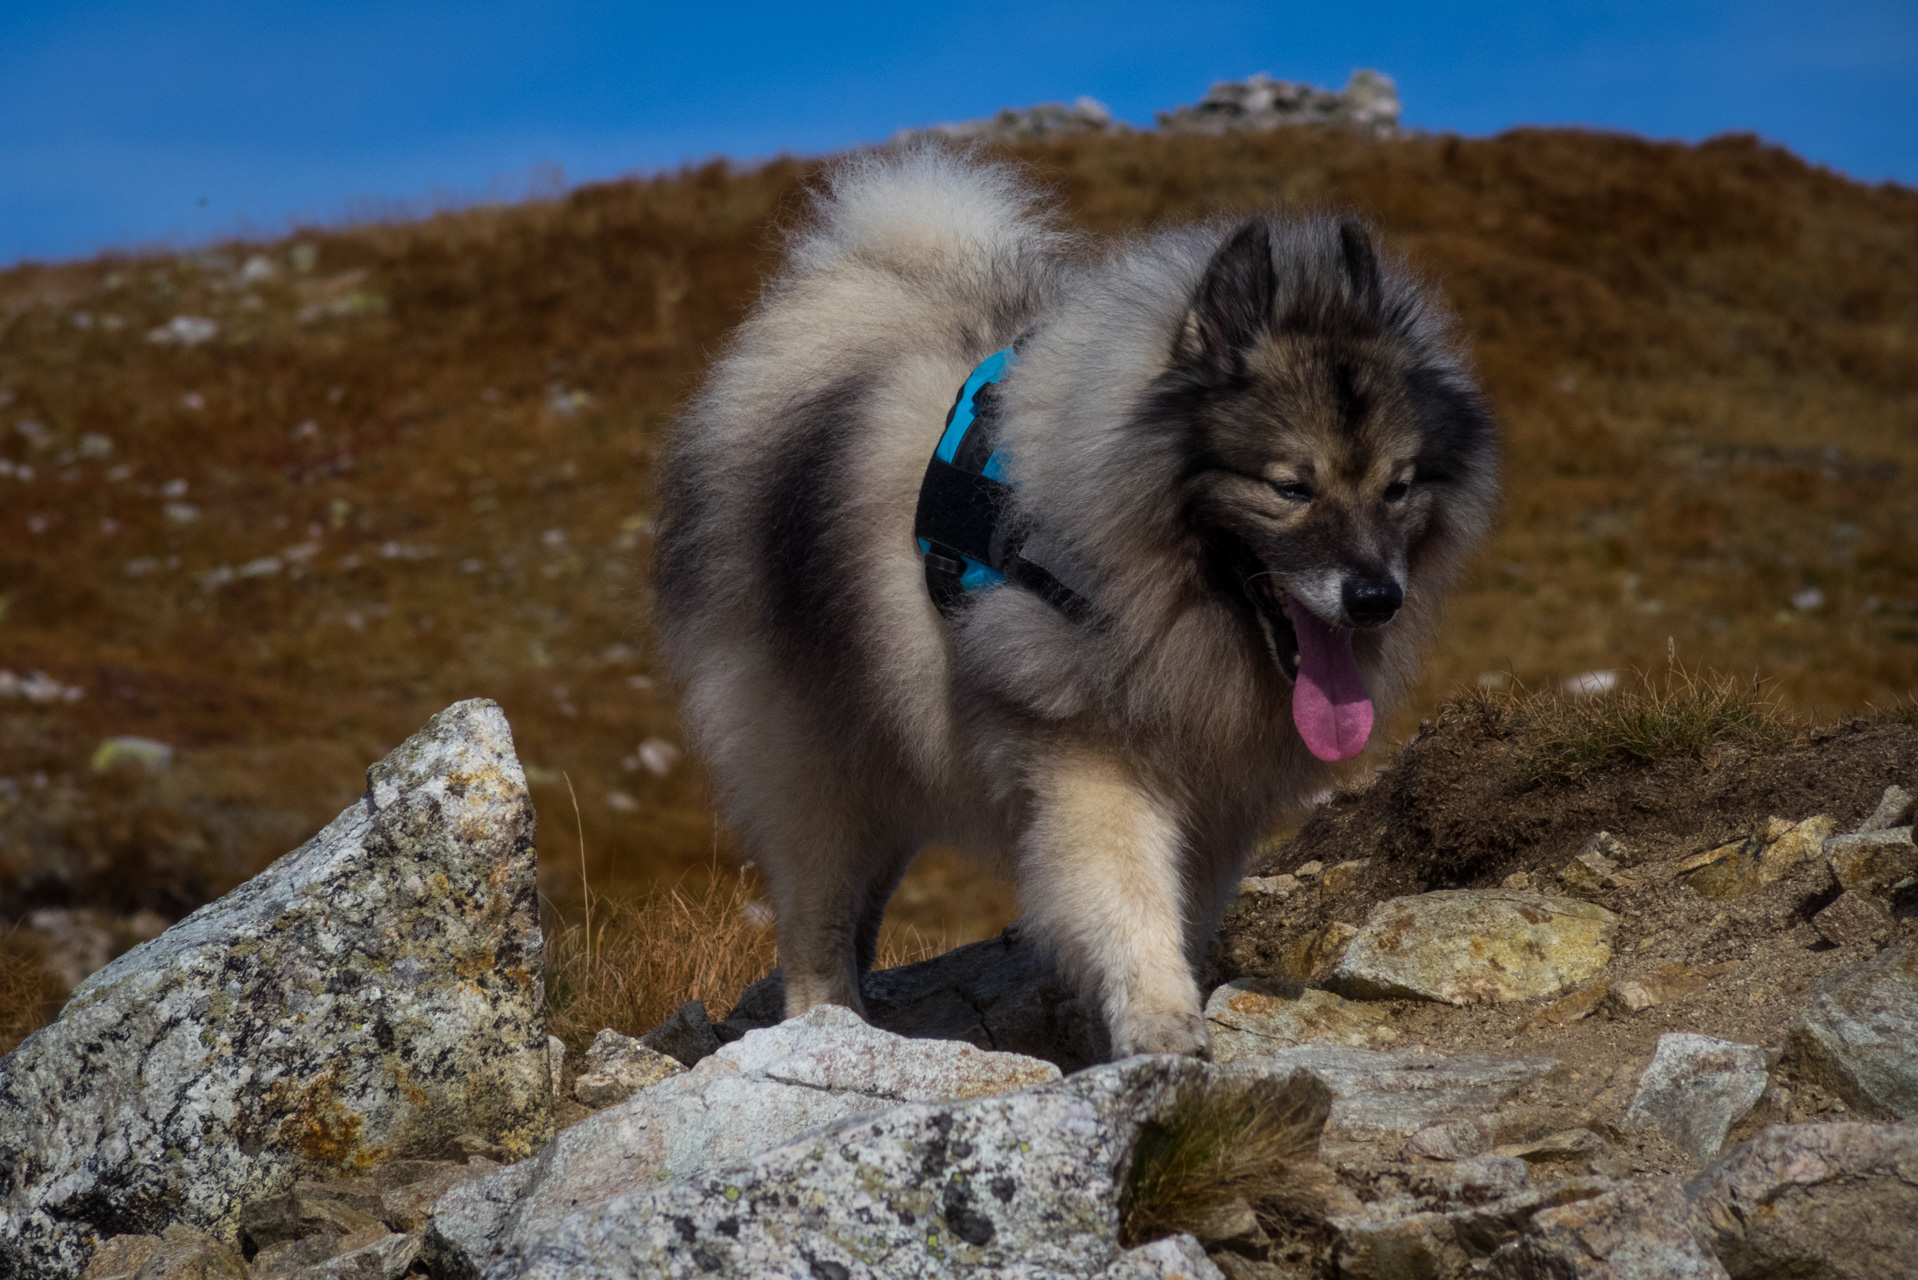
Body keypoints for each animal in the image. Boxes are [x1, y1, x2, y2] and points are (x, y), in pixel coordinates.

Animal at [659, 144, 1496, 1059]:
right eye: (1290, 487)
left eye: (1398, 486)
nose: (1377, 597)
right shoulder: (1090, 756)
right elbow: (1129, 896)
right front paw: (1160, 1021)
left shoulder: (1214, 795)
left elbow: (1182, 909)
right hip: (814, 751)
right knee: (817, 914)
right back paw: (830, 1023)